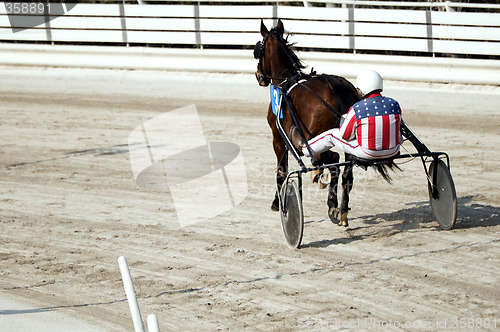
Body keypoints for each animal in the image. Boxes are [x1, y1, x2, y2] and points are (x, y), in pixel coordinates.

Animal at [256, 18, 362, 226]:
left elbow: (281, 171)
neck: (285, 81)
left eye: (259, 49)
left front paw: (278, 202)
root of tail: (337, 88)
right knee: (347, 172)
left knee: (333, 161)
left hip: (313, 137)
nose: (259, 76)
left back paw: (331, 204)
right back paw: (343, 211)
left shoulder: (278, 138)